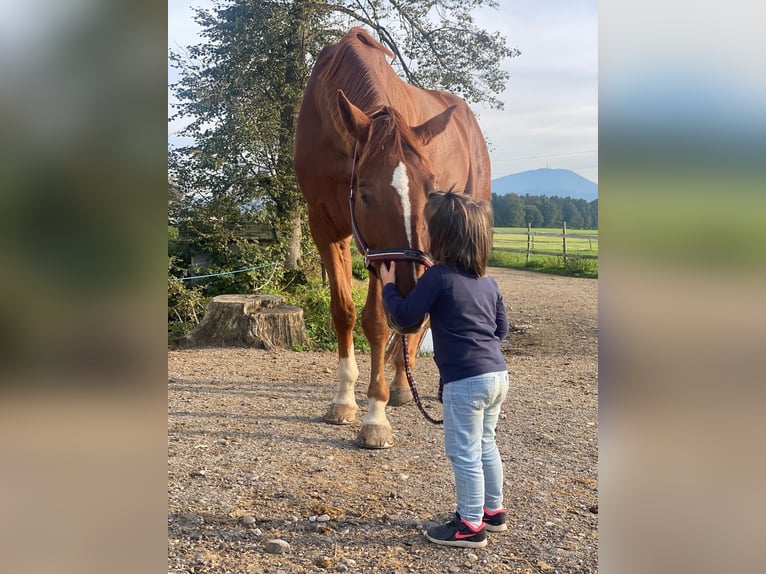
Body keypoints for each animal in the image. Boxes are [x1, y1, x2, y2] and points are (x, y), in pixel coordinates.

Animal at [294, 27, 492, 450]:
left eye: (430, 189)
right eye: (366, 195)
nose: (405, 287)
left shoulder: (384, 253)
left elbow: (378, 321)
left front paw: (375, 415)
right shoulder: (327, 226)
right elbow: (344, 312)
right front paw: (344, 400)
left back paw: (403, 383)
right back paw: (401, 382)